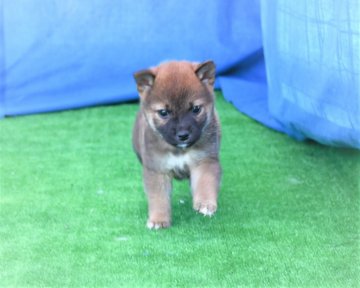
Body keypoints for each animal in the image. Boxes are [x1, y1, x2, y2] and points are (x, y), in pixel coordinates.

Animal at [133, 60, 221, 230]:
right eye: (163, 112)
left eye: (195, 109)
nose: (183, 135)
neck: (179, 151)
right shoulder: (157, 170)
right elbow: (158, 197)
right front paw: (159, 219)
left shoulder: (204, 161)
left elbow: (205, 182)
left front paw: (205, 203)